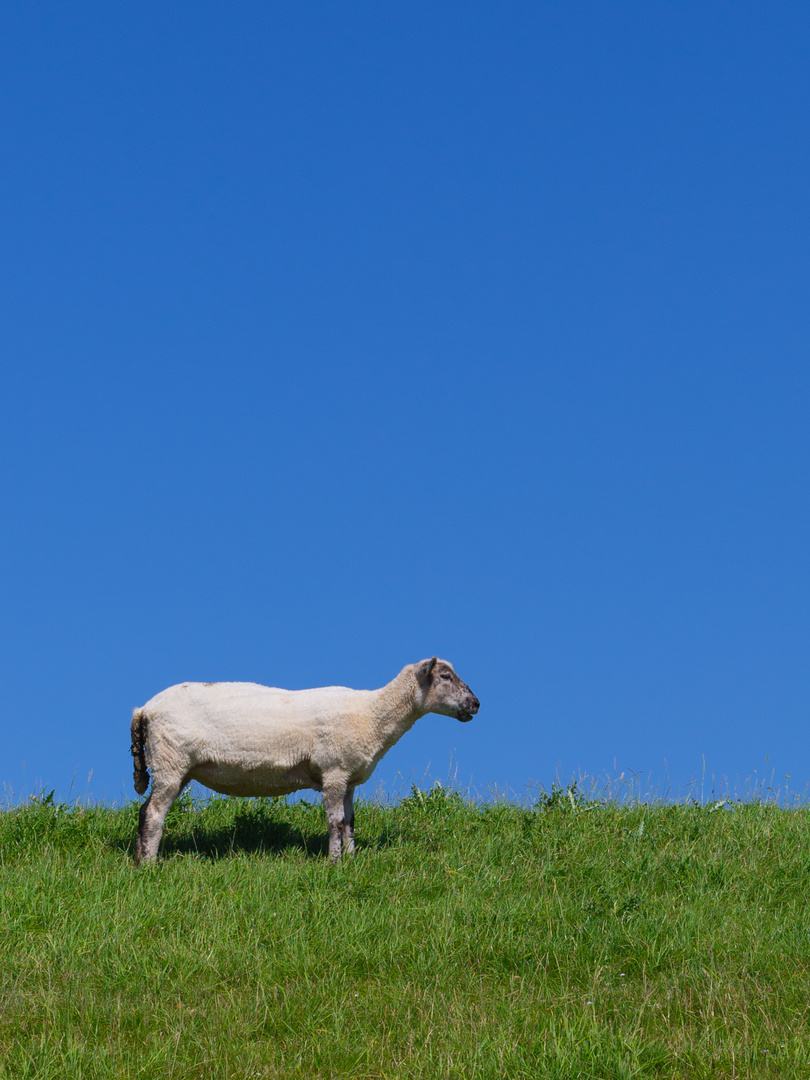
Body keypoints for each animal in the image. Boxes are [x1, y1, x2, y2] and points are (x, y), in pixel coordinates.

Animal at [130, 652, 479, 864]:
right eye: (445, 676)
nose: (476, 704)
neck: (372, 714)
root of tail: (145, 709)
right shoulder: (334, 771)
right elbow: (335, 821)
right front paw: (335, 862)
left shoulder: (349, 778)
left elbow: (350, 822)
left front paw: (352, 860)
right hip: (171, 761)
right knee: (154, 814)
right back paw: (150, 864)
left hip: (175, 767)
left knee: (144, 811)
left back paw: (137, 860)